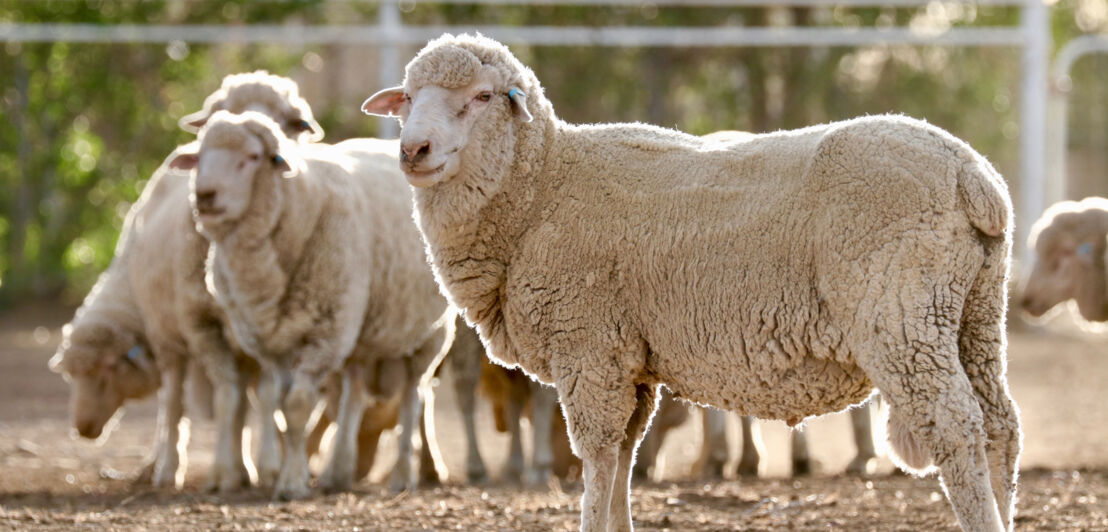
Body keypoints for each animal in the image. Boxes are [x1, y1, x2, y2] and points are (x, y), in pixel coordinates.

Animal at [168, 111, 454, 498]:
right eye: (199, 157)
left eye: (252, 157)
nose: (204, 196)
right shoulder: (271, 345)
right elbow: (279, 406)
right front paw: (293, 473)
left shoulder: (325, 334)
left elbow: (298, 405)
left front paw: (291, 483)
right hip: (359, 332)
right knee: (354, 394)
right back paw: (338, 473)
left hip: (429, 335)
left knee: (413, 399)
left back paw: (403, 475)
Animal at [363, 34, 1019, 532]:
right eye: (408, 99)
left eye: (481, 97)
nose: (413, 149)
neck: (541, 188)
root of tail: (971, 173)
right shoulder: (629, 358)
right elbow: (625, 454)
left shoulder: (589, 348)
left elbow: (598, 454)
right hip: (973, 315)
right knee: (1000, 426)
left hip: (900, 315)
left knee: (956, 426)